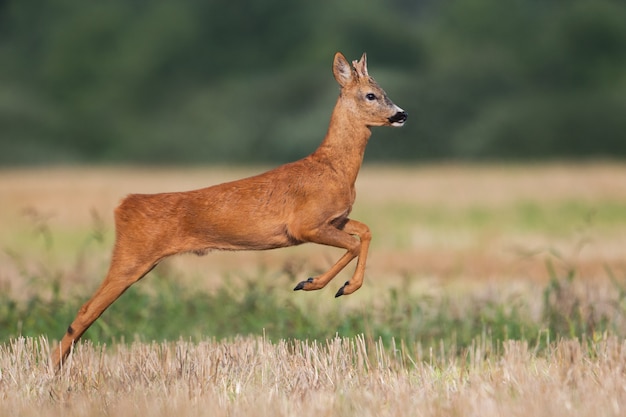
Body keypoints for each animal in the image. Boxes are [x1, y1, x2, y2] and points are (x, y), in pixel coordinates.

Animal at [51, 51, 408, 368]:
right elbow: (353, 243)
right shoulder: (304, 224)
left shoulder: (336, 219)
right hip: (132, 255)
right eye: (371, 95)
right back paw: (52, 369)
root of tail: (124, 206)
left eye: (385, 92)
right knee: (86, 310)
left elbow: (365, 232)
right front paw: (316, 284)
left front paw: (341, 286)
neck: (335, 169)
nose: (402, 114)